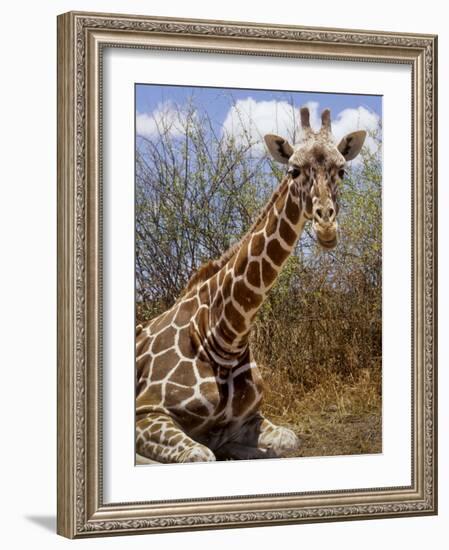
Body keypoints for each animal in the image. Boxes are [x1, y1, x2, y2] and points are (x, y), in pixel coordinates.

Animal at [135, 105, 366, 464]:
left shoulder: (248, 418)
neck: (223, 334)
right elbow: (200, 455)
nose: (326, 226)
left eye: (341, 171)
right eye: (293, 170)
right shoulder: (146, 411)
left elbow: (287, 441)